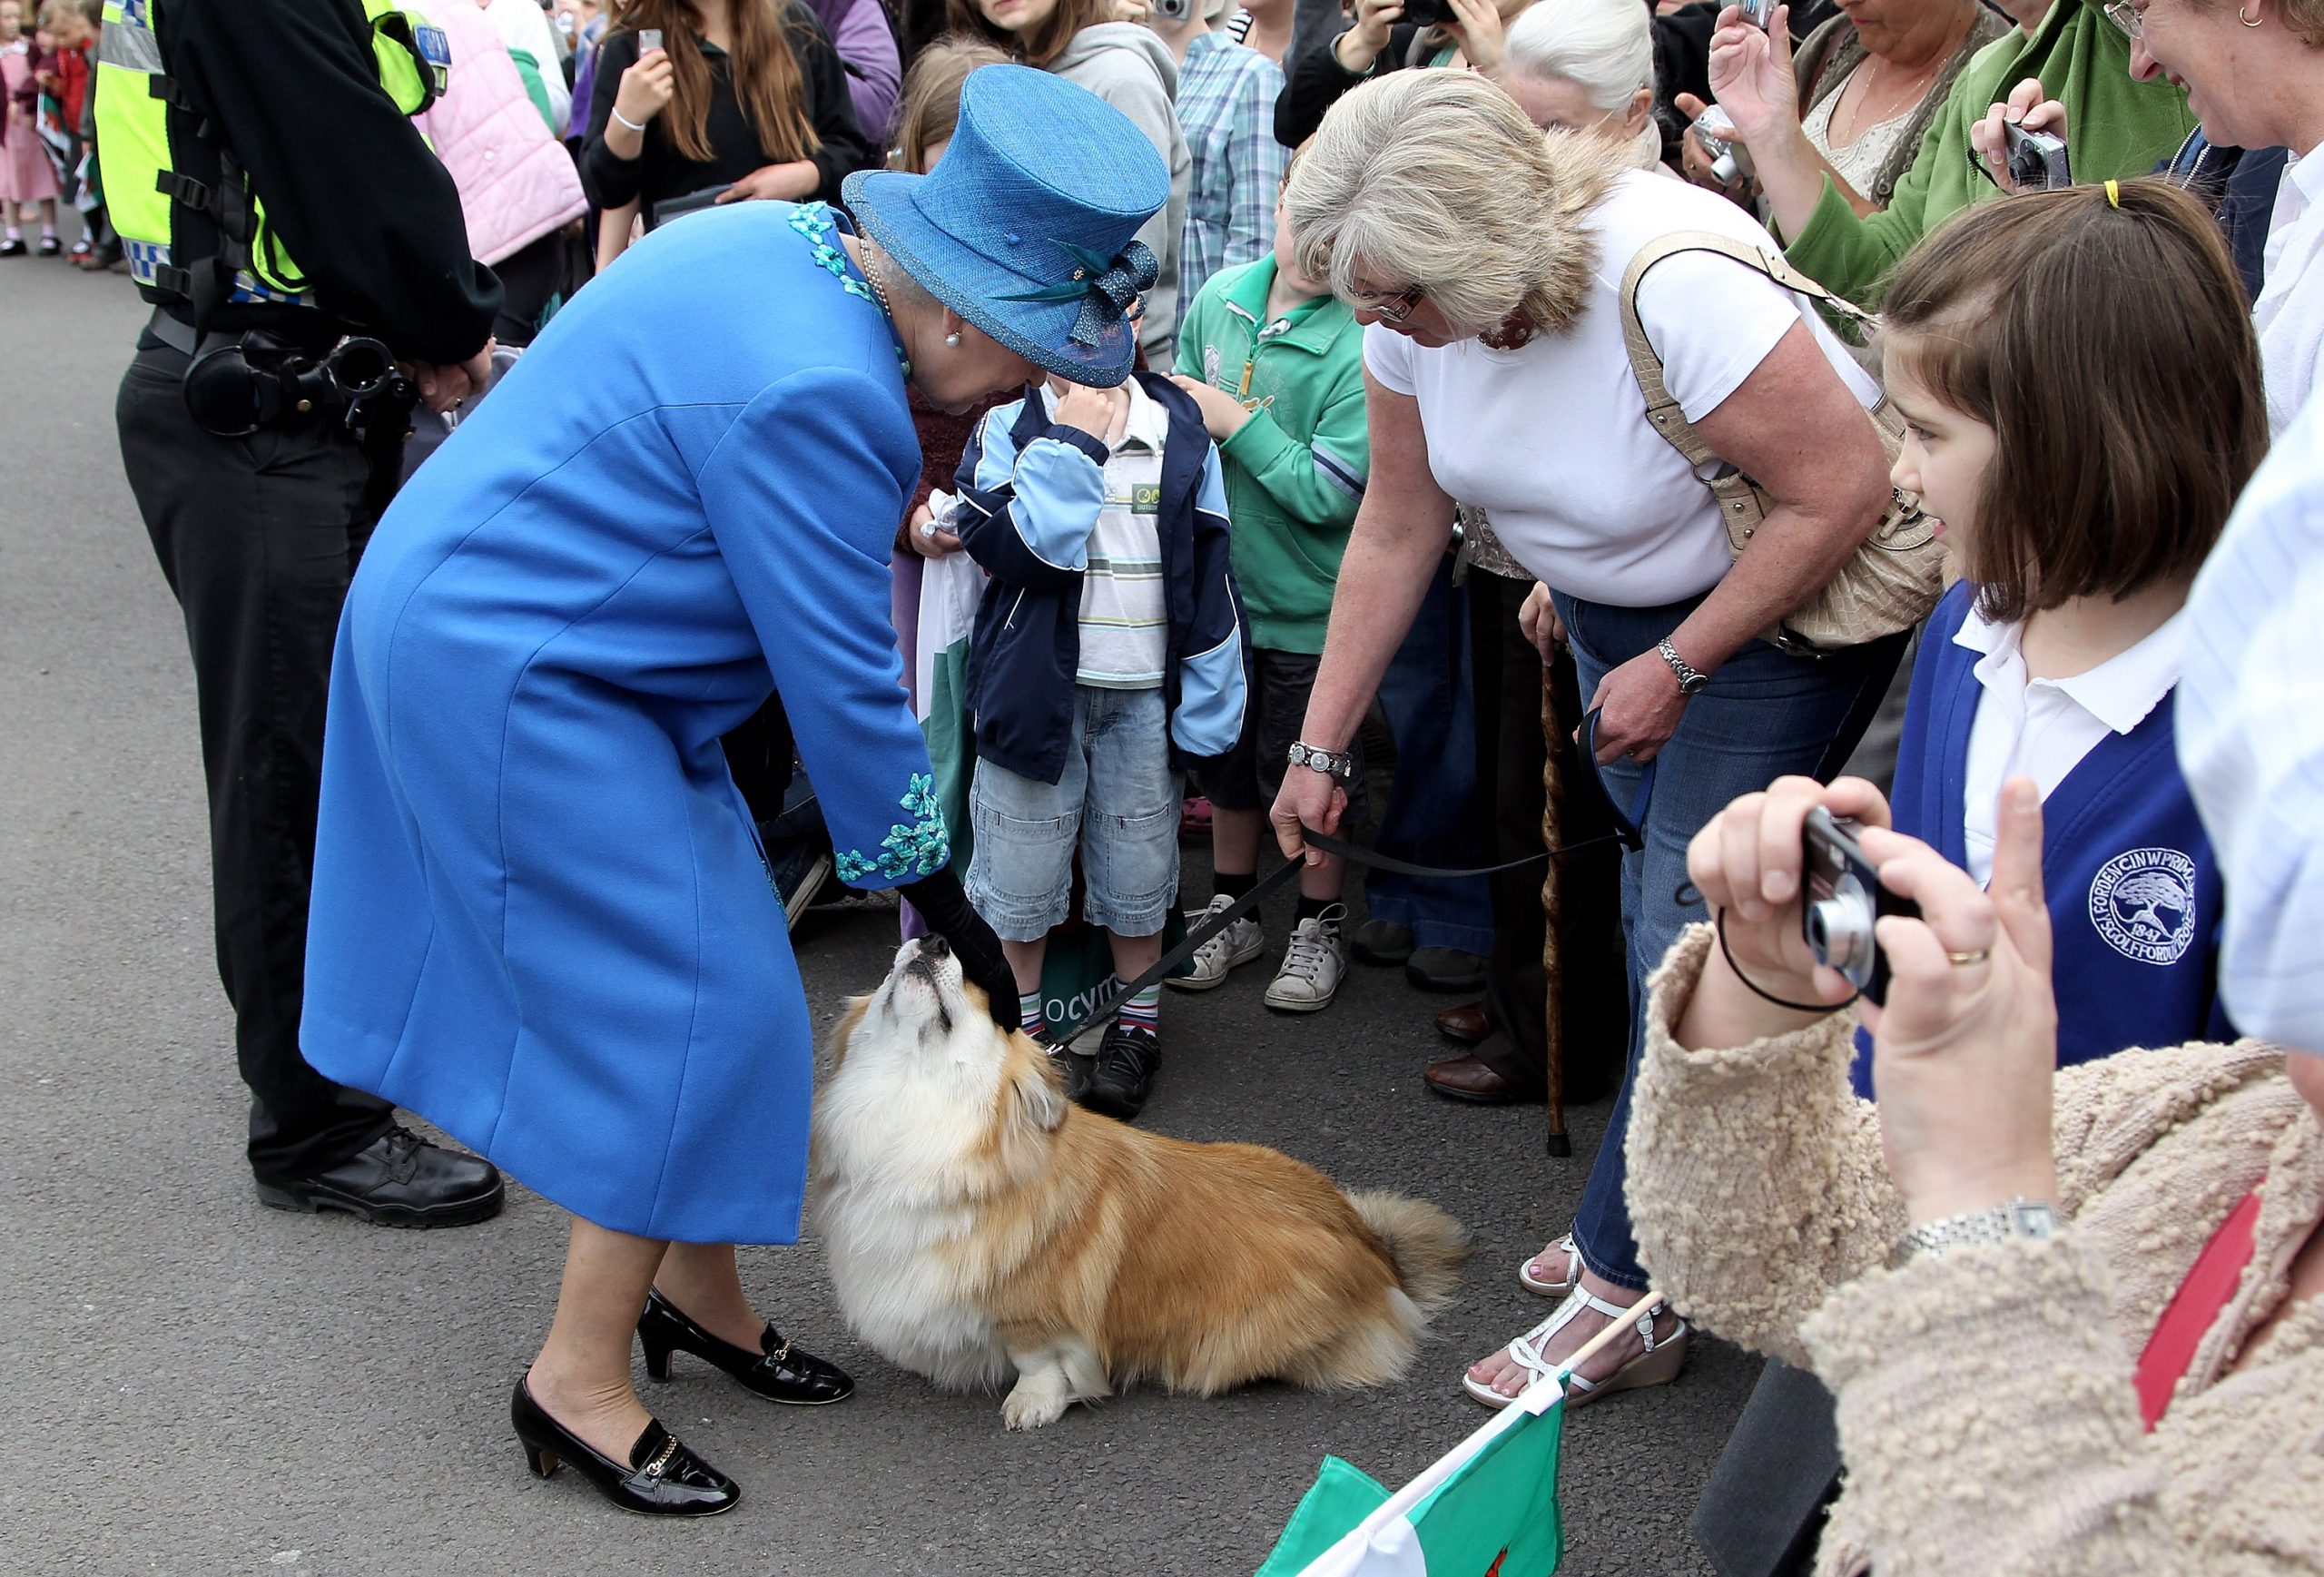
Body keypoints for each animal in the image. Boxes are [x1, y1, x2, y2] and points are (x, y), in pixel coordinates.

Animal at [818, 938, 1468, 1430]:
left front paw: (1032, 1405)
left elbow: (1038, 1360)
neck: (916, 1108)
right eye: (887, 976)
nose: (933, 939)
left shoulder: (1033, 1311)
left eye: (984, 999)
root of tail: (1380, 1253)